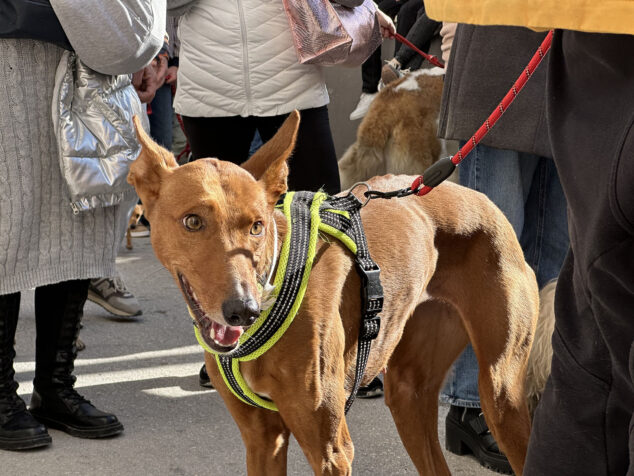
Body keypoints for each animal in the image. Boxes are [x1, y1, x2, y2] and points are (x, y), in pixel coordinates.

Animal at [130, 112, 540, 476]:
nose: (242, 310)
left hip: (502, 394)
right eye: (192, 221)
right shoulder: (263, 440)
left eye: (257, 226)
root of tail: (480, 198)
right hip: (409, 392)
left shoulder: (331, 451)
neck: (276, 278)